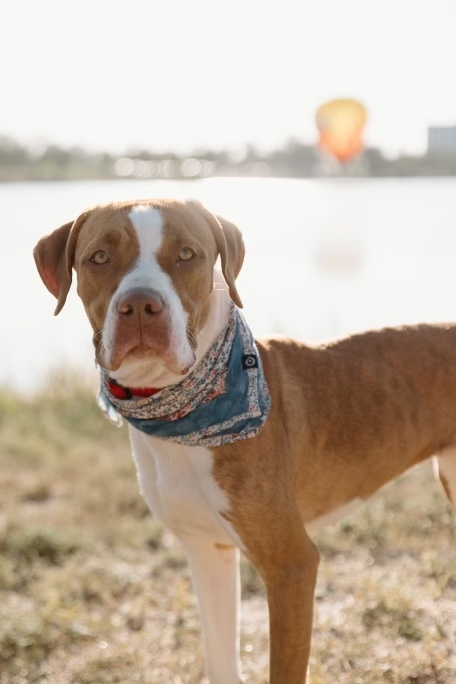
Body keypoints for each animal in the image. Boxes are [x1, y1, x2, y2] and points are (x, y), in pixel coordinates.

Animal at [34, 199, 456, 684]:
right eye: (99, 257)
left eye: (186, 254)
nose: (140, 304)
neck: (182, 414)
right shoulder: (207, 551)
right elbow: (220, 656)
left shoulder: (291, 565)